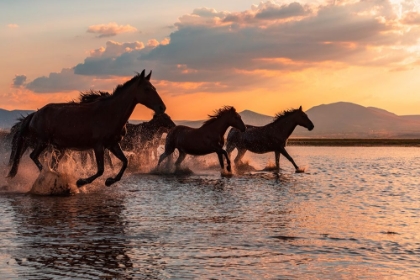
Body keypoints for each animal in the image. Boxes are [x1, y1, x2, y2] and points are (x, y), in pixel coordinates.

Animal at [8, 70, 166, 187]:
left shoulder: (113, 144)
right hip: (43, 142)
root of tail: (34, 114)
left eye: (154, 88)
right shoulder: (98, 146)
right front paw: (81, 182)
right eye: (147, 89)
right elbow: (101, 170)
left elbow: (125, 162)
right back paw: (51, 175)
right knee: (34, 156)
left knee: (49, 162)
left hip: (58, 147)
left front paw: (110, 181)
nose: (162, 107)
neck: (110, 113)